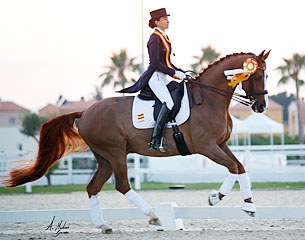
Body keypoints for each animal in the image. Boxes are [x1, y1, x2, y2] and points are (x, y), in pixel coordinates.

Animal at [2, 50, 268, 232]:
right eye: (257, 74)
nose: (261, 106)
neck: (210, 99)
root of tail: (85, 112)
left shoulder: (221, 145)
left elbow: (239, 167)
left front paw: (248, 205)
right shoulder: (207, 147)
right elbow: (233, 167)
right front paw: (216, 197)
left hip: (104, 158)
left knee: (93, 187)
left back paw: (104, 226)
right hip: (116, 152)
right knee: (122, 185)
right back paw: (154, 216)